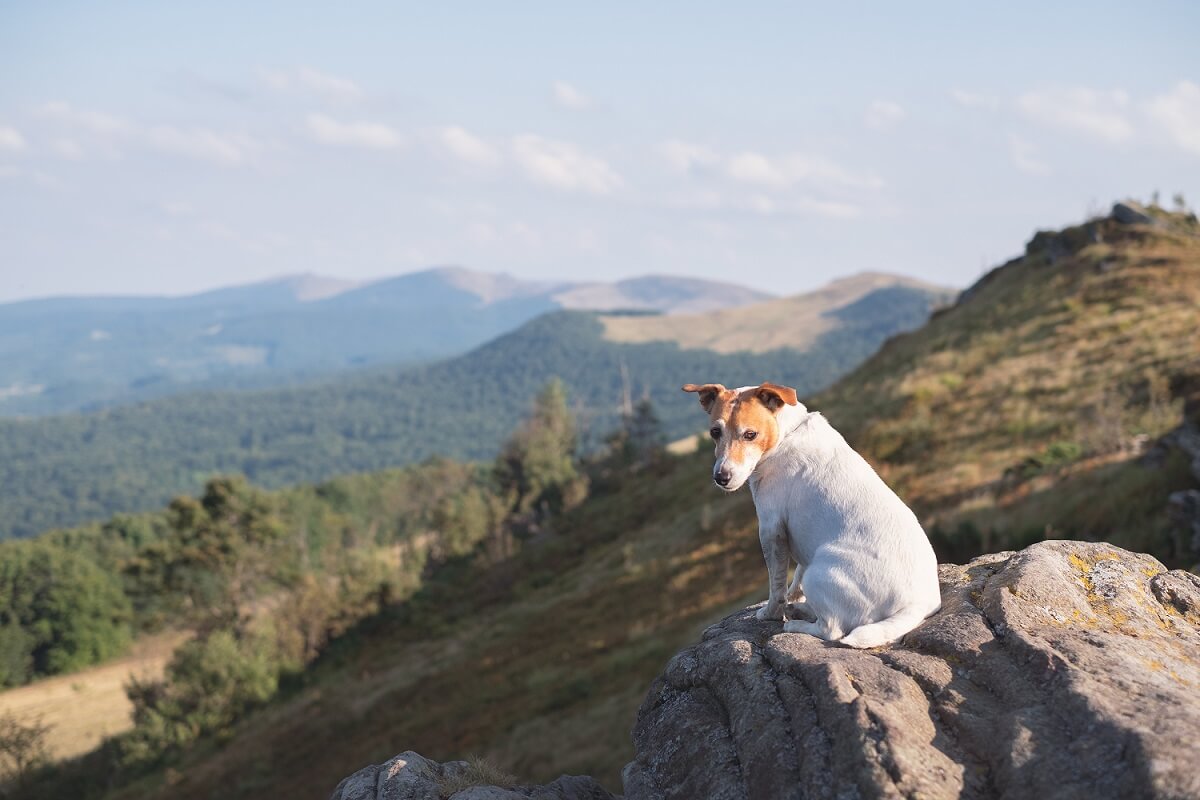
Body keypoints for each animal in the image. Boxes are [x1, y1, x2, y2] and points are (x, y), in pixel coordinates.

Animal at [681, 381, 940, 652]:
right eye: (714, 432)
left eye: (750, 434)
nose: (721, 477)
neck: (785, 436)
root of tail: (916, 605)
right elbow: (794, 580)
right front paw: (794, 599)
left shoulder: (771, 529)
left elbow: (776, 587)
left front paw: (770, 613)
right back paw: (802, 610)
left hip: (820, 572)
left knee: (832, 629)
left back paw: (797, 625)